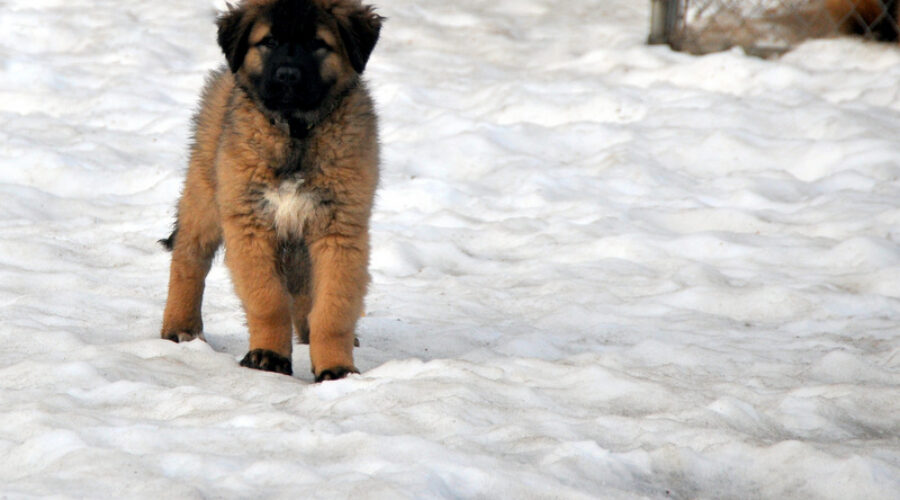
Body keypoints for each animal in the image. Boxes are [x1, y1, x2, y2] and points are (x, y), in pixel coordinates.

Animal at [160, 0, 382, 380]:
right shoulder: (249, 222)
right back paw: (180, 327)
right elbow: (269, 300)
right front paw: (269, 356)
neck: (295, 132)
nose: (287, 76)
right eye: (269, 42)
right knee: (189, 258)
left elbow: (333, 308)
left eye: (317, 44)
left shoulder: (339, 228)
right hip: (205, 196)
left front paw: (336, 368)